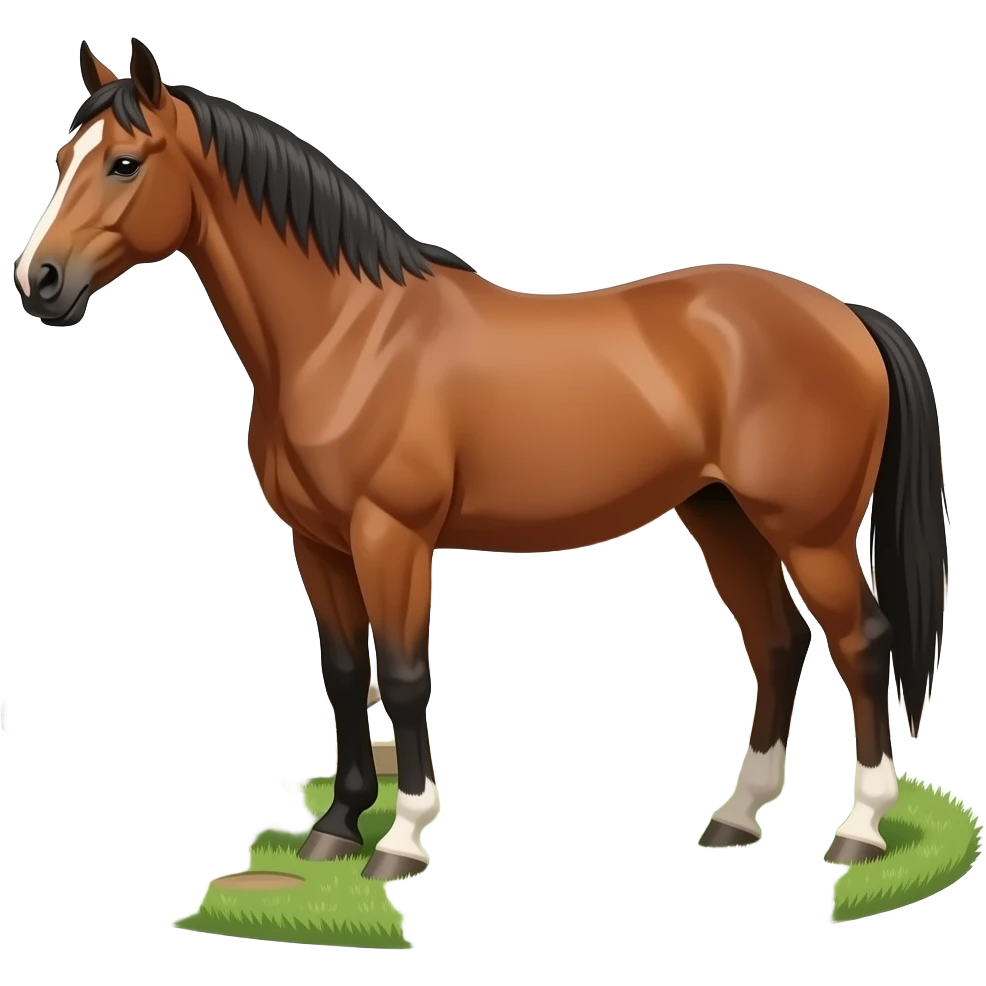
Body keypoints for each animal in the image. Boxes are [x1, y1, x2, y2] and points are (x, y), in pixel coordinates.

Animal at [13, 38, 949, 877]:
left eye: (125, 163)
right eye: (61, 157)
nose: (39, 281)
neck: (348, 335)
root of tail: (848, 316)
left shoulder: (392, 537)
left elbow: (401, 674)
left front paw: (399, 839)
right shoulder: (316, 543)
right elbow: (344, 673)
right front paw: (338, 825)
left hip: (810, 533)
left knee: (861, 642)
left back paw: (860, 830)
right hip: (722, 516)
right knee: (776, 642)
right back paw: (735, 818)